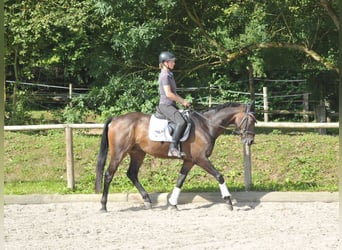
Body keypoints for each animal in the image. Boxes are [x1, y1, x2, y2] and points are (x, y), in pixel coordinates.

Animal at [95, 101, 255, 211]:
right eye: (251, 121)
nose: (250, 141)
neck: (206, 126)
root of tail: (116, 119)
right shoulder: (201, 159)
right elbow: (219, 176)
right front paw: (228, 201)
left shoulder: (190, 161)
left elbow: (180, 180)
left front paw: (172, 203)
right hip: (118, 153)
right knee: (109, 175)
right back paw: (103, 205)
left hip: (138, 153)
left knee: (132, 174)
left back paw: (147, 200)